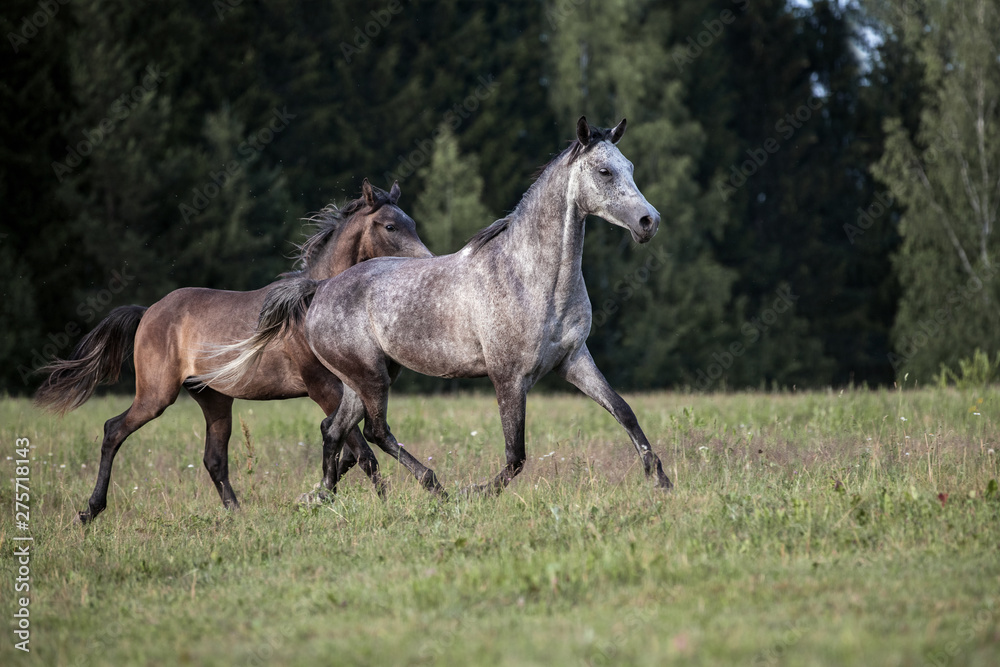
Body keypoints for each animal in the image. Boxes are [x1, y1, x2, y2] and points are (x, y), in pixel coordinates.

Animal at [35, 180, 433, 523]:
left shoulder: (349, 386)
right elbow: (362, 451)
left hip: (213, 397)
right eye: (390, 226)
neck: (311, 304)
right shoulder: (323, 387)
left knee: (214, 459)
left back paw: (238, 516)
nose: (427, 261)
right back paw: (90, 510)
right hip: (156, 394)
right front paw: (383, 504)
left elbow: (349, 447)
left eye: (411, 223)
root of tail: (147, 311)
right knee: (113, 431)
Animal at [197, 117, 673, 497]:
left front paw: (662, 482)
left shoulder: (573, 360)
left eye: (629, 167)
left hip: (362, 377)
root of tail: (321, 286)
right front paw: (475, 494)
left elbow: (624, 412)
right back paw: (435, 488)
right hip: (370, 377)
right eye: (604, 170)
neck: (532, 276)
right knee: (374, 431)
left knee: (336, 429)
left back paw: (324, 496)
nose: (649, 222)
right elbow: (515, 454)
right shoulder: (508, 376)